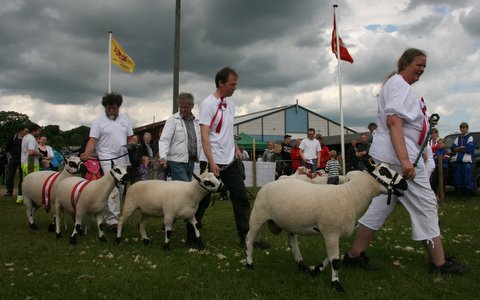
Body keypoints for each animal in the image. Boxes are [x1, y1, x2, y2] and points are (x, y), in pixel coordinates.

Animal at [246, 161, 406, 292]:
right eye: (384, 171)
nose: (405, 183)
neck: (350, 196)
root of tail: (271, 183)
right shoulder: (331, 232)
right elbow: (335, 261)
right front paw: (336, 284)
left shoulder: (335, 234)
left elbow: (331, 257)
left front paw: (316, 270)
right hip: (257, 216)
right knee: (249, 240)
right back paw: (249, 264)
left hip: (289, 222)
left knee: (292, 243)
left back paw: (302, 265)